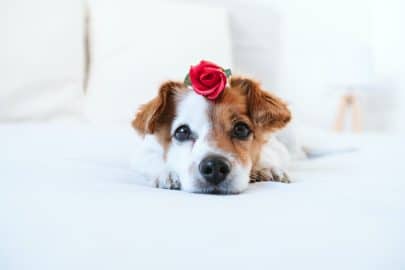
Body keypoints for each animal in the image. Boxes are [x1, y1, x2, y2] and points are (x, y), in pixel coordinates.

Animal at [131, 76, 292, 194]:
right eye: (182, 132)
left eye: (241, 129)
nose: (214, 167)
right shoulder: (143, 152)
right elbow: (152, 159)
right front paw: (168, 172)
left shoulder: (276, 145)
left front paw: (266, 168)